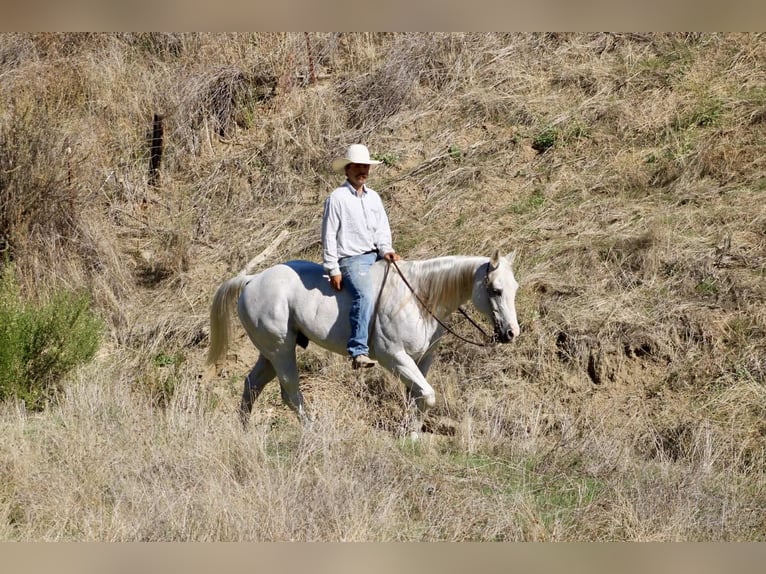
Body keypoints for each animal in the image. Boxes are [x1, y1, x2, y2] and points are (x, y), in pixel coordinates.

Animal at [206, 249, 520, 438]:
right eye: (495, 290)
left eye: (514, 288)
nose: (511, 333)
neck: (418, 297)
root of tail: (252, 280)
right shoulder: (394, 357)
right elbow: (428, 395)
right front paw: (411, 434)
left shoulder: (422, 360)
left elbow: (418, 397)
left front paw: (411, 434)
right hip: (280, 350)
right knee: (291, 393)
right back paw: (312, 430)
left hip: (270, 352)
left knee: (252, 384)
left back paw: (243, 430)